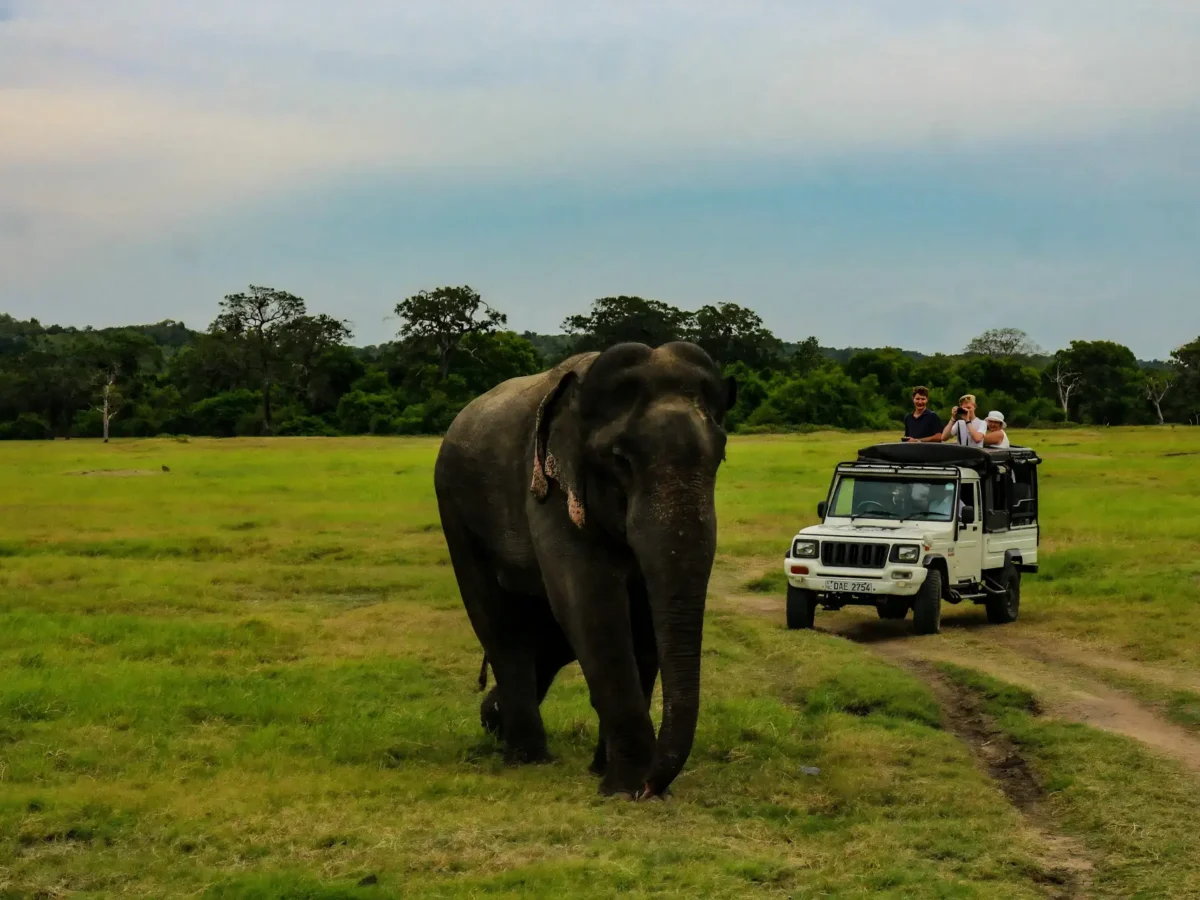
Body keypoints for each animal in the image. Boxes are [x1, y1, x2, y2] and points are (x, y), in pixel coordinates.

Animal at [433, 341, 735, 799]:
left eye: (720, 456)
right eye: (620, 460)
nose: (653, 787)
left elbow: (641, 614)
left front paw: (613, 775)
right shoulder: (549, 490)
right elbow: (590, 602)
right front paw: (625, 788)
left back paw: (498, 722)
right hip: (454, 508)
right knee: (498, 622)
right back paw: (526, 756)